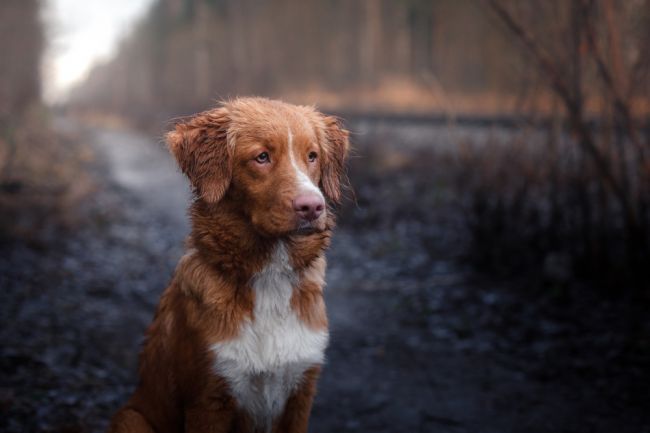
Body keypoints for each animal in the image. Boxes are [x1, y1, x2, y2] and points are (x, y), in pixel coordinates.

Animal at [109, 98, 346, 432]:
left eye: (312, 156)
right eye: (262, 157)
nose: (313, 206)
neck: (269, 277)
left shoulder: (301, 393)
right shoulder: (209, 399)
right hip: (130, 417)